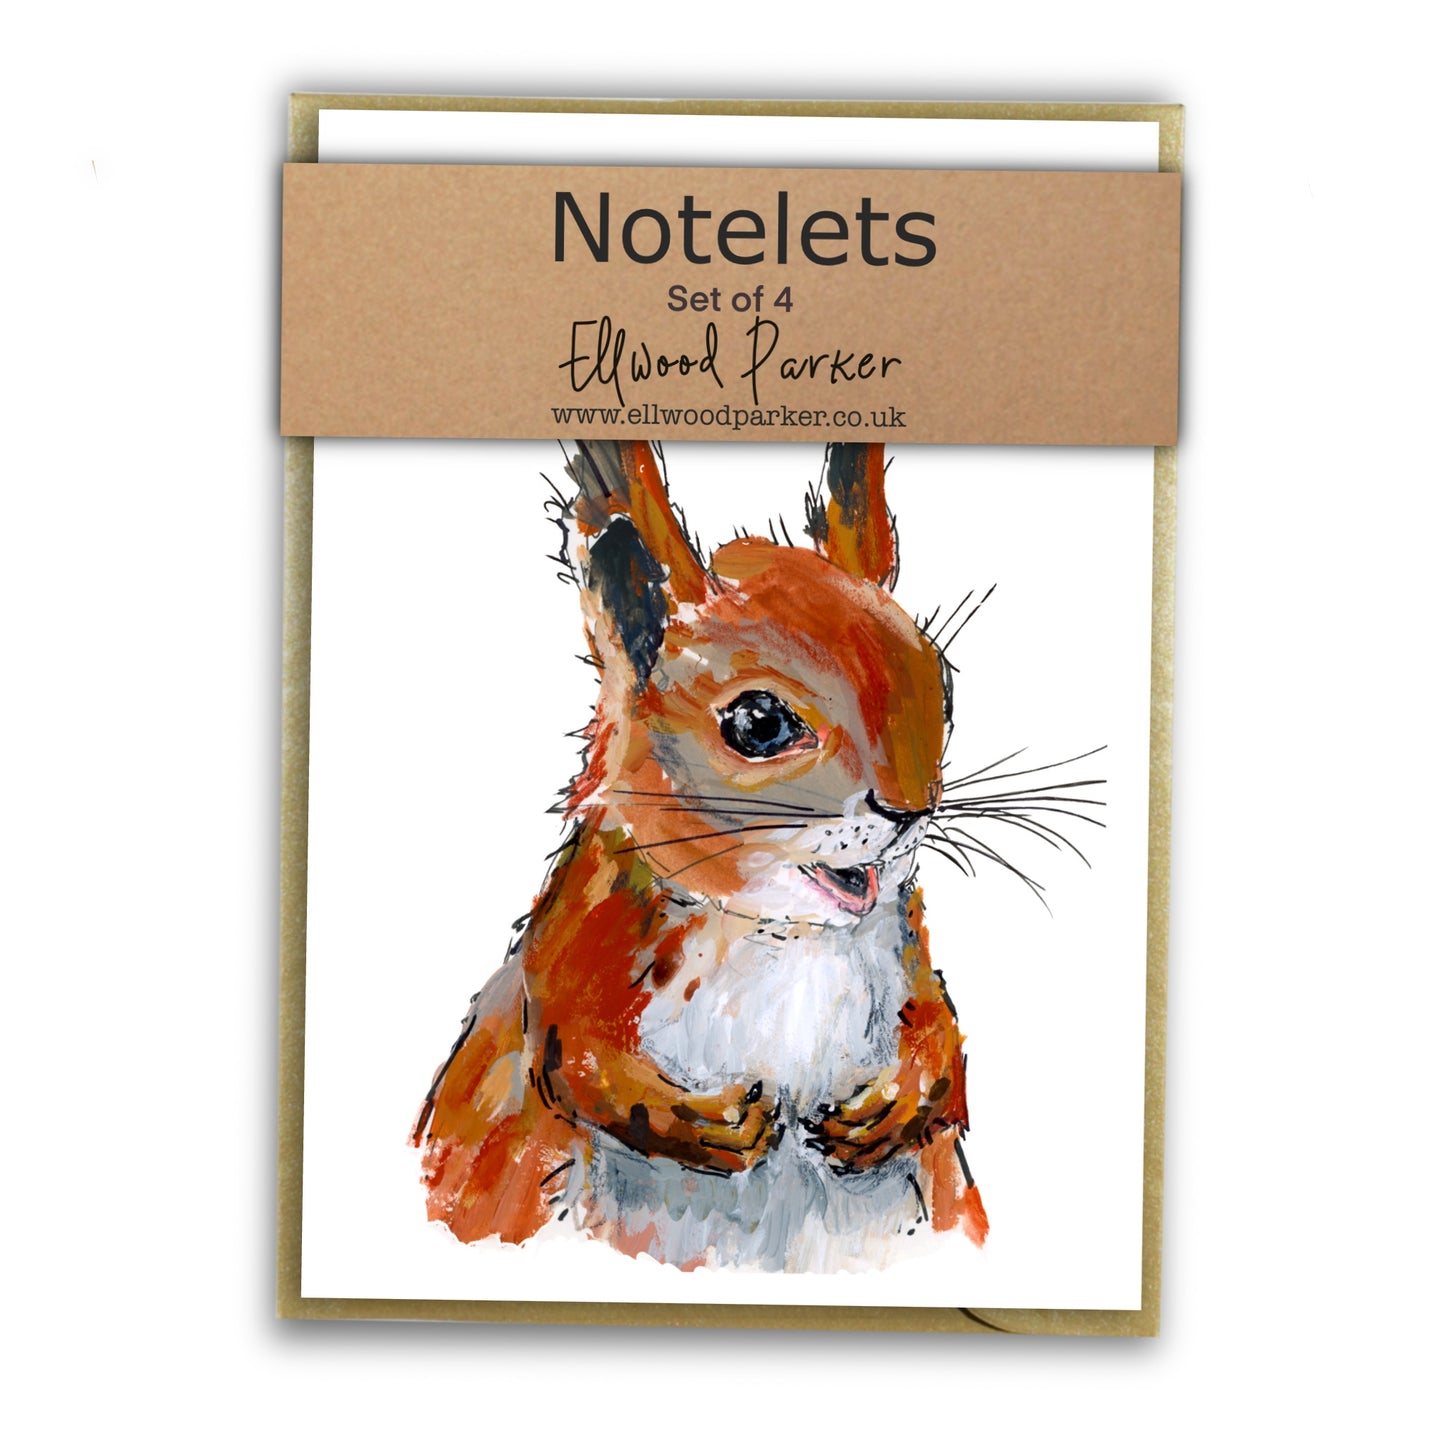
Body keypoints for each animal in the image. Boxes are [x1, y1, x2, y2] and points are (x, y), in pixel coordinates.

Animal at [411, 440, 988, 1271]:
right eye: (757, 721)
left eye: (939, 681)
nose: (911, 810)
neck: (779, 932)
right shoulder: (578, 937)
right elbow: (571, 1054)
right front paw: (702, 1121)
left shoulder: (902, 942)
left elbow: (941, 1033)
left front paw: (895, 1102)